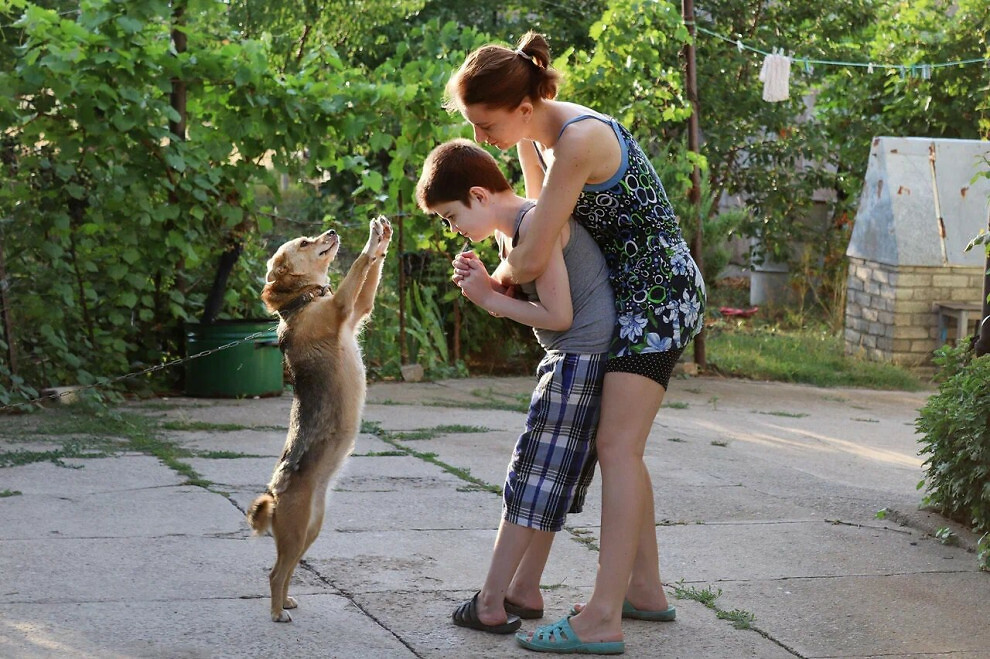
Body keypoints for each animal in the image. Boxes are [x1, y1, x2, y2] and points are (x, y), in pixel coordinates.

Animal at [246, 217, 394, 624]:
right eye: (304, 242)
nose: (331, 231)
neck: (305, 300)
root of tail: (274, 494)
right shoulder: (342, 305)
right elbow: (360, 265)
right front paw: (372, 241)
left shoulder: (358, 308)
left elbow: (369, 277)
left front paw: (383, 237)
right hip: (298, 531)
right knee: (275, 572)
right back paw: (277, 612)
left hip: (310, 531)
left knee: (286, 569)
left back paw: (286, 602)